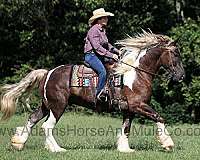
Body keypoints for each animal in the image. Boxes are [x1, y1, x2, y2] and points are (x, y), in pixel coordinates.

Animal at [0, 31, 184, 152]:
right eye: (175, 53)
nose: (181, 76)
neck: (136, 73)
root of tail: (48, 73)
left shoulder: (129, 109)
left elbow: (126, 128)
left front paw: (125, 149)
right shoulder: (138, 105)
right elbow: (159, 117)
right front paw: (167, 143)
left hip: (47, 105)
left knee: (32, 119)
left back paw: (18, 143)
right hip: (58, 106)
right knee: (47, 126)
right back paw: (57, 149)